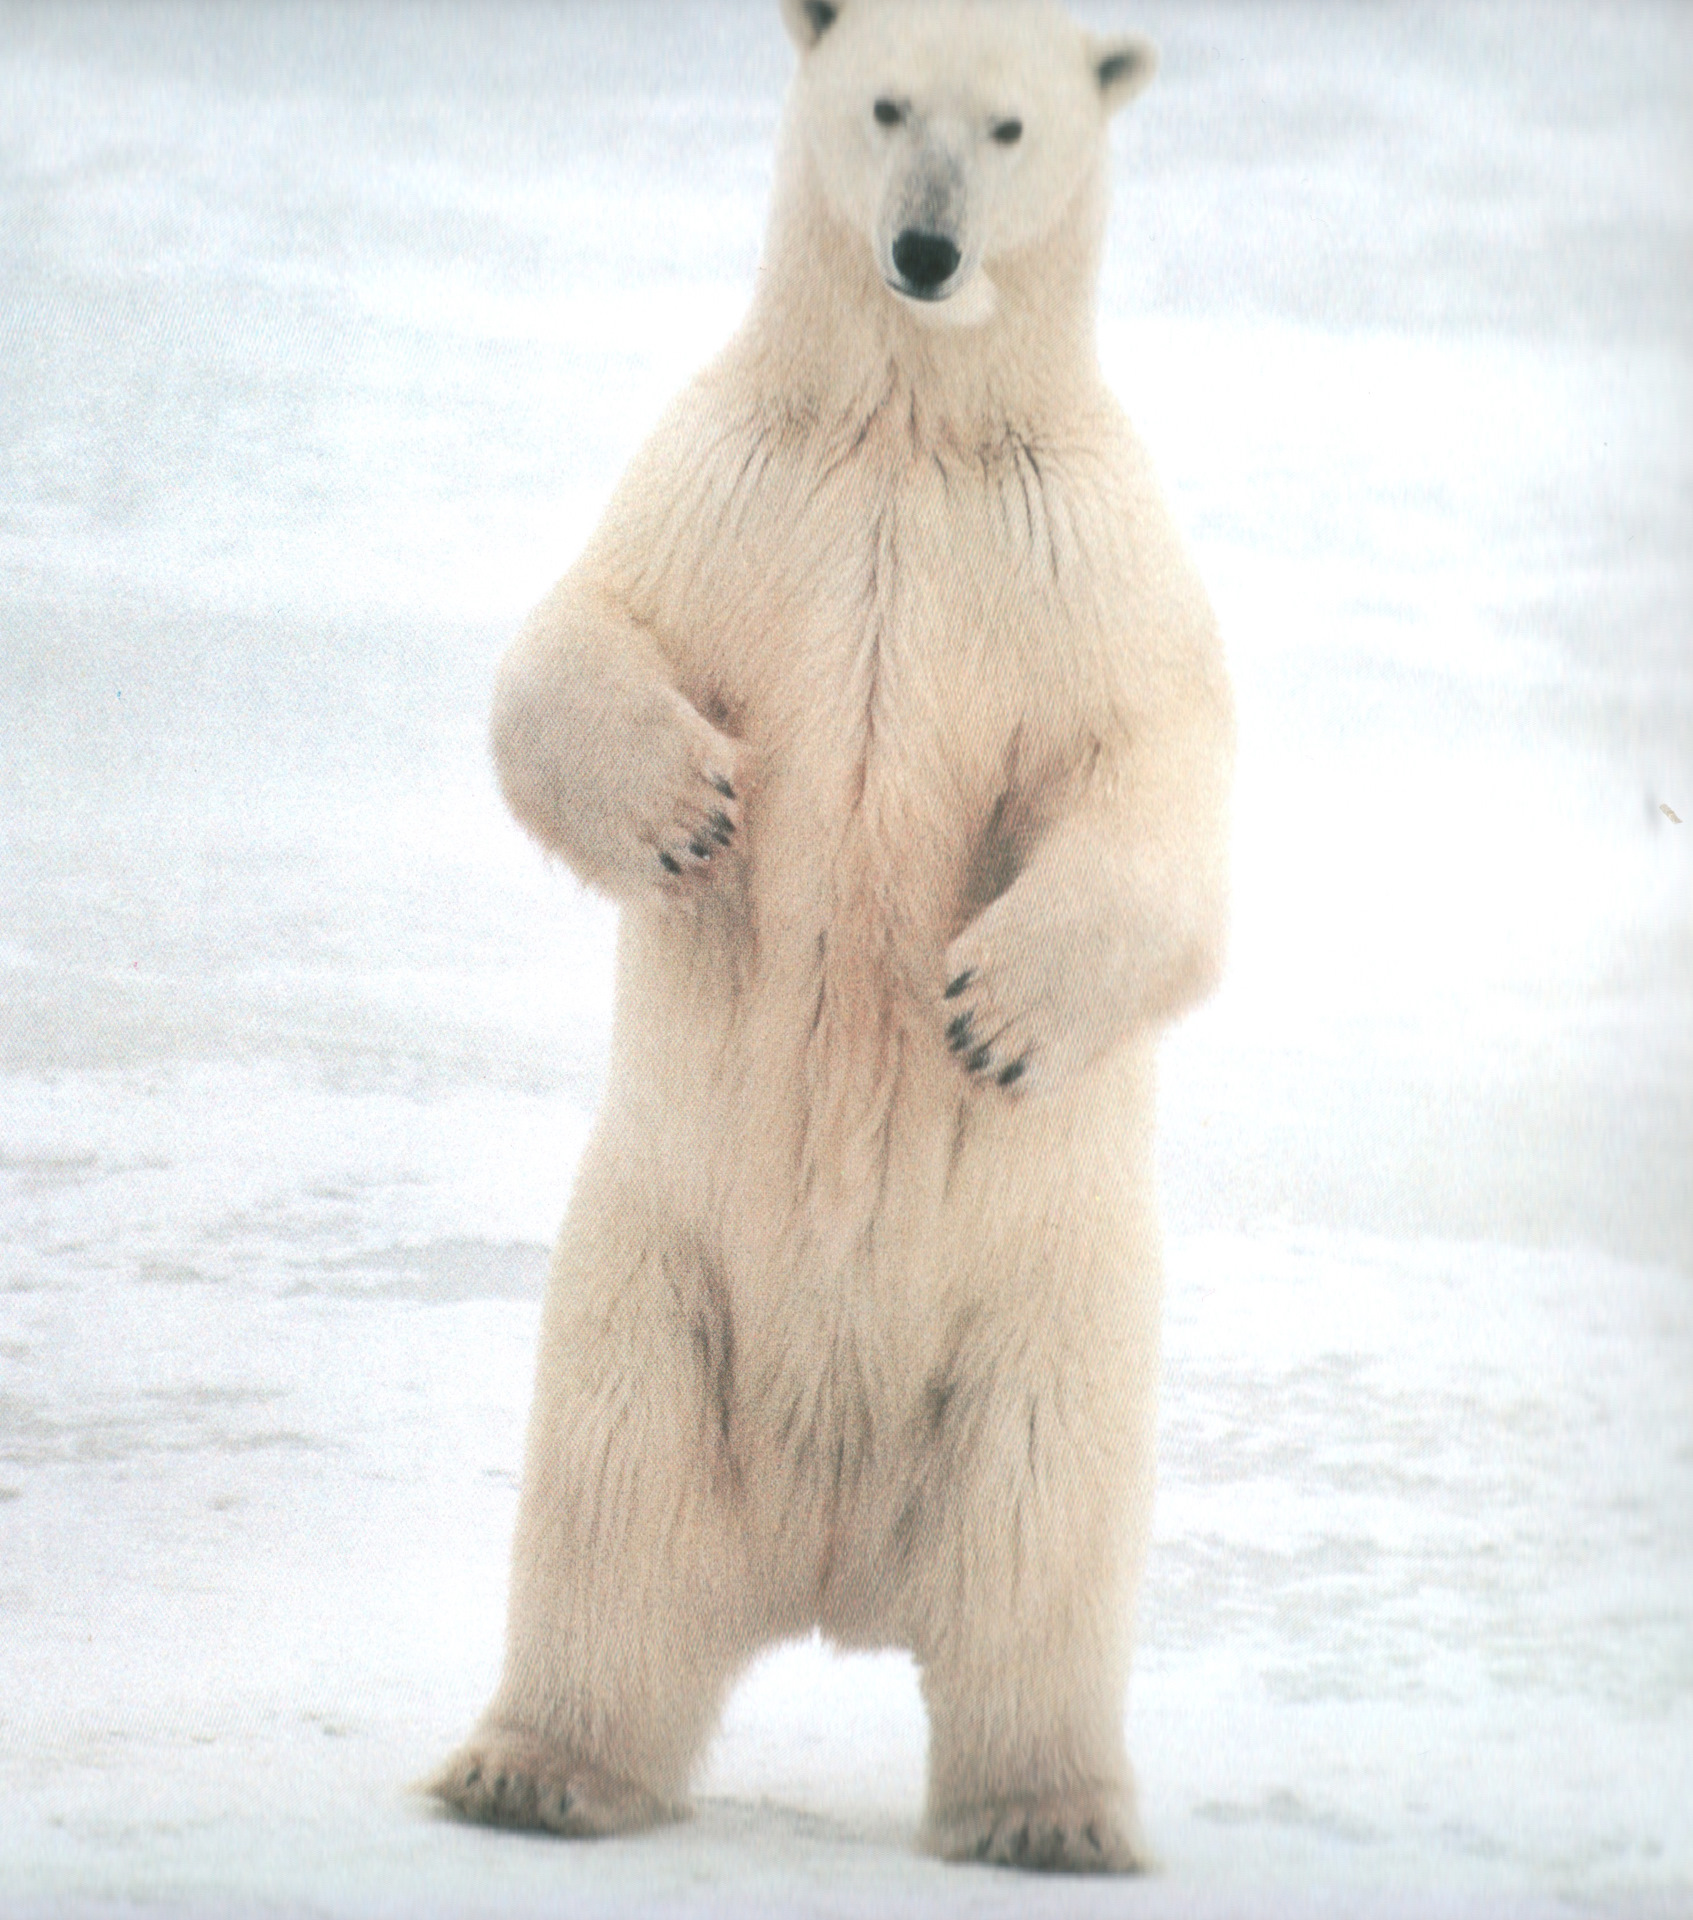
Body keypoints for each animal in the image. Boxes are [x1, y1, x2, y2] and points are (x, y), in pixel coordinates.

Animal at [431, 0, 1228, 1873]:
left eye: (1006, 126)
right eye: (883, 105)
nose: (923, 250)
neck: (910, 427)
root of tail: (825, 1569)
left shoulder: (1077, 562)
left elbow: (1153, 797)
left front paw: (993, 1011)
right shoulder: (738, 487)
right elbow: (570, 642)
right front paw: (690, 816)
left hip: (1045, 1322)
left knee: (1035, 1553)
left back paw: (1045, 1815)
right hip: (652, 1282)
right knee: (602, 1511)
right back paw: (533, 1768)